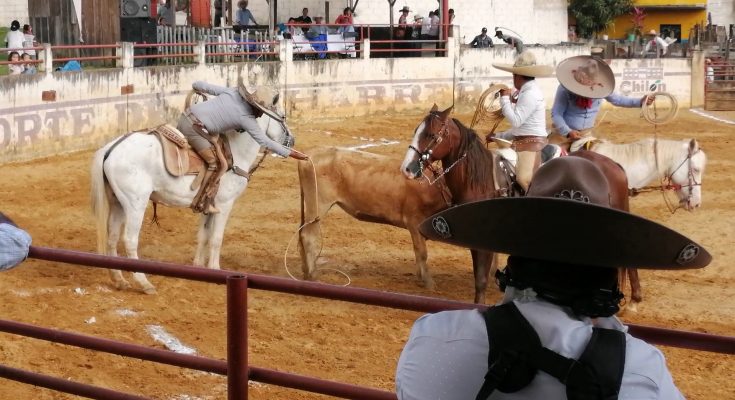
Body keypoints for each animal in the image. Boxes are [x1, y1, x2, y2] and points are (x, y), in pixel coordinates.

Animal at [87, 109, 292, 294]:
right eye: (282, 117)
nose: (290, 142)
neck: (234, 154)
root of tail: (111, 148)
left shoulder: (208, 207)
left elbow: (203, 236)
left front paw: (199, 266)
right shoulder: (225, 205)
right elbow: (216, 238)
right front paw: (215, 268)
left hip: (117, 204)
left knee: (112, 238)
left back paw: (119, 280)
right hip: (135, 205)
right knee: (129, 240)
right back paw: (144, 283)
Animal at [298, 147, 452, 288]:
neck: (434, 187)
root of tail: (309, 155)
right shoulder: (414, 221)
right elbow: (422, 252)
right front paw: (428, 282)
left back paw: (306, 271)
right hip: (318, 205)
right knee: (308, 236)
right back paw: (312, 274)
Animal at [400, 104, 636, 304]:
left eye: (431, 135)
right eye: (415, 131)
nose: (407, 169)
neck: (481, 181)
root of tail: (612, 164)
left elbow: (481, 280)